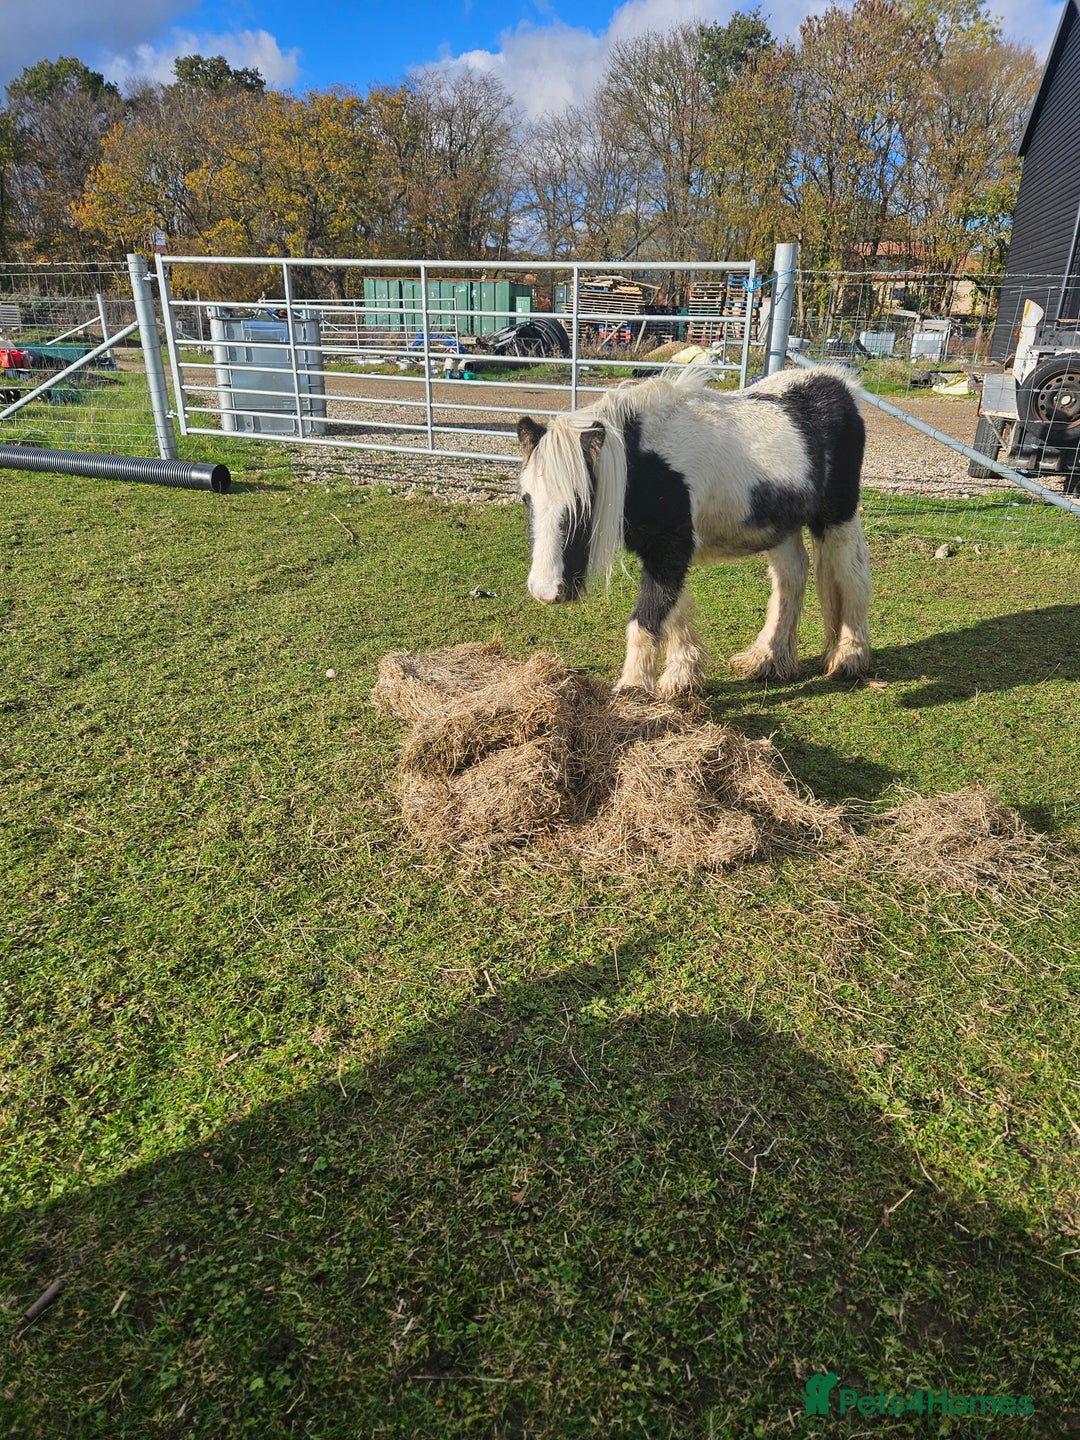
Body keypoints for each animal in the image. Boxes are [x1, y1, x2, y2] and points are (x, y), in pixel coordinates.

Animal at [516, 364, 872, 696]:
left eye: (582, 502)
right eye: (526, 498)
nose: (545, 591)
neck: (647, 464)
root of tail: (840, 382)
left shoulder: (669, 549)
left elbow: (647, 616)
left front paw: (633, 688)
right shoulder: (662, 551)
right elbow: (672, 609)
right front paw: (683, 676)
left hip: (837, 517)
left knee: (852, 573)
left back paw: (848, 657)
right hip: (780, 526)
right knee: (791, 576)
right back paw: (766, 659)